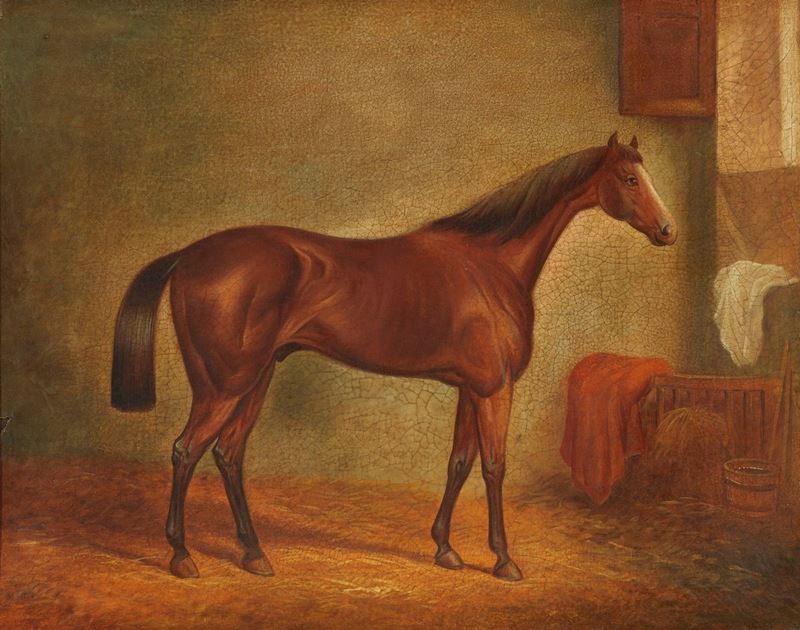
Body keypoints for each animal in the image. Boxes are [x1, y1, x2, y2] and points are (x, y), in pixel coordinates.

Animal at [111, 132, 676, 582]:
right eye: (630, 179)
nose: (668, 230)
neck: (490, 265)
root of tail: (190, 255)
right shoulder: (495, 388)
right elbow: (494, 466)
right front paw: (504, 560)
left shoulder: (471, 388)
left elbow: (458, 463)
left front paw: (445, 548)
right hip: (224, 386)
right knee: (186, 451)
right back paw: (182, 556)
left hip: (255, 380)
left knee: (228, 455)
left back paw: (253, 554)